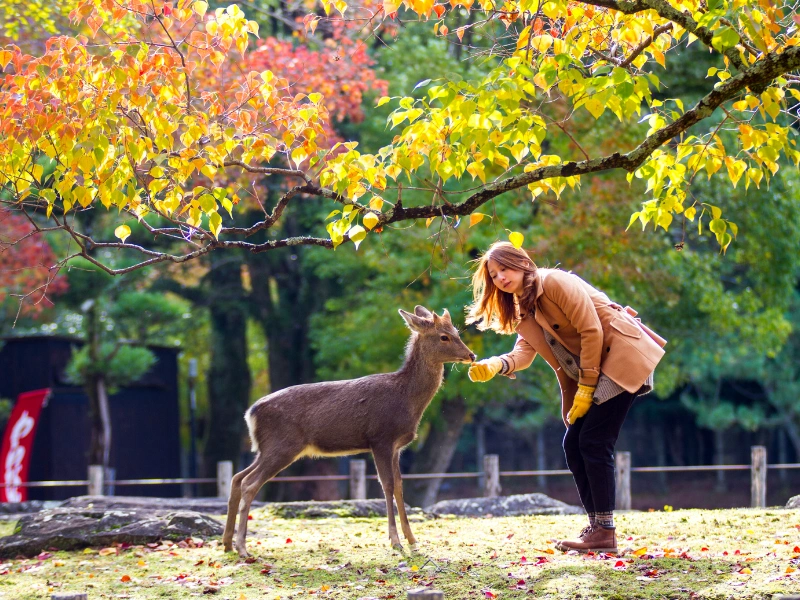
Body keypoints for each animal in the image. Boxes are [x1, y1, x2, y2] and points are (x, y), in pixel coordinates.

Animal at [222, 306, 476, 557]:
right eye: (444, 336)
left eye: (457, 331)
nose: (471, 355)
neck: (407, 399)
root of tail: (250, 413)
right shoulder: (380, 438)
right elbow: (387, 485)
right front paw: (395, 542)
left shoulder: (396, 447)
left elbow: (400, 486)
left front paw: (413, 542)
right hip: (282, 445)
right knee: (249, 483)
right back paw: (242, 547)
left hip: (266, 448)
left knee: (237, 478)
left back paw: (227, 544)